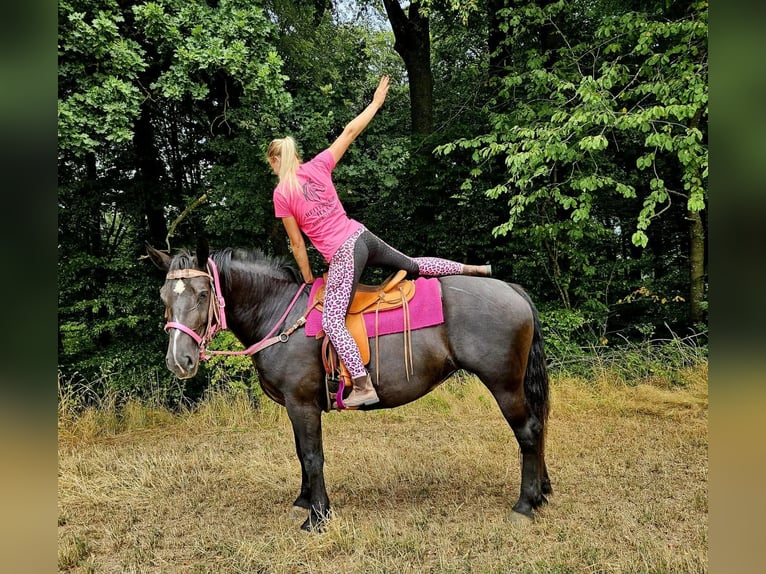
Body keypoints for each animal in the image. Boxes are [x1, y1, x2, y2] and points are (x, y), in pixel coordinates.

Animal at [146, 240, 552, 531]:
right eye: (165, 298)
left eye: (202, 294)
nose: (179, 360)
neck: (280, 315)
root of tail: (512, 289)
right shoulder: (296, 406)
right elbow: (301, 454)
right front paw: (304, 502)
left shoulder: (302, 403)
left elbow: (313, 456)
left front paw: (318, 516)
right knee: (537, 428)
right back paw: (541, 493)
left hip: (504, 383)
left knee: (528, 431)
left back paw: (524, 506)